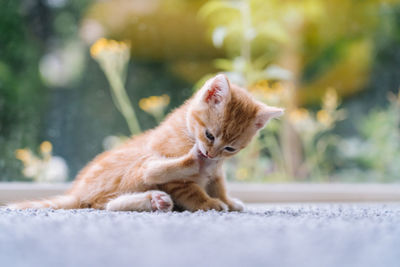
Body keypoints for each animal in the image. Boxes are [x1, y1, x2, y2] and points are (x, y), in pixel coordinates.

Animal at [7, 74, 282, 213]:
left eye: (230, 148)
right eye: (210, 135)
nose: (210, 154)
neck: (187, 132)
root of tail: (76, 191)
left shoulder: (217, 173)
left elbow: (219, 186)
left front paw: (229, 201)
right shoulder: (178, 182)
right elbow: (194, 192)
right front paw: (210, 204)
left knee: (106, 204)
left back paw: (156, 201)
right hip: (136, 160)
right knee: (147, 172)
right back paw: (189, 164)